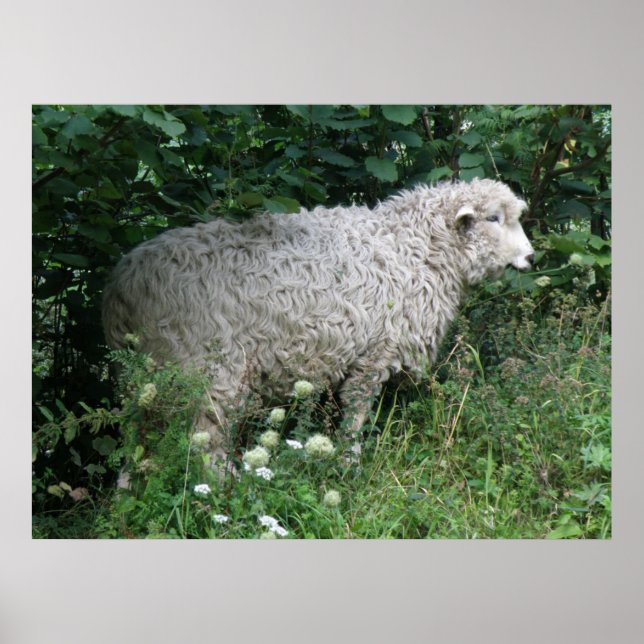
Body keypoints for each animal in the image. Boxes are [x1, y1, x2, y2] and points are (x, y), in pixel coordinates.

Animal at [102, 178, 534, 464]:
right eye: (493, 218)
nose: (531, 257)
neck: (415, 247)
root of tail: (121, 286)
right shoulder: (374, 353)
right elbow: (355, 416)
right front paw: (349, 465)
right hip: (208, 369)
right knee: (206, 440)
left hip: (144, 378)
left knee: (134, 439)